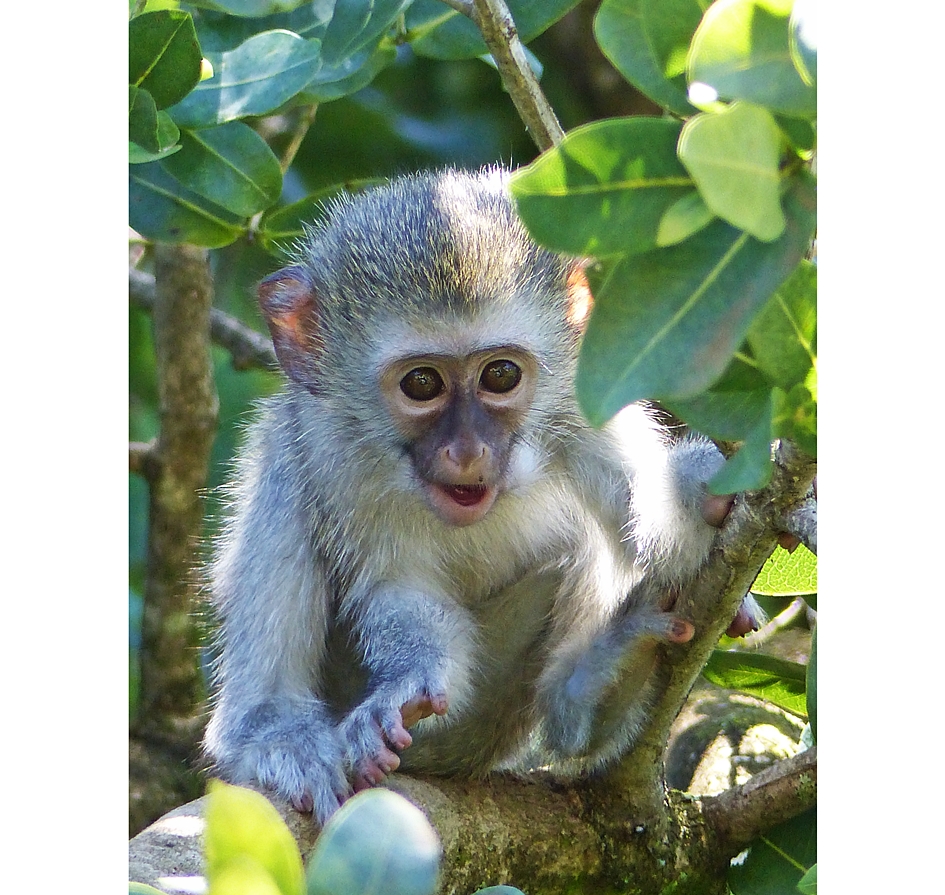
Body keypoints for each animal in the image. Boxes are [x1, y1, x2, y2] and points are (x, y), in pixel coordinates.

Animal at [203, 168, 756, 823]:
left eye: (500, 376)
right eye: (422, 383)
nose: (466, 452)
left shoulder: (589, 406)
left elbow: (650, 539)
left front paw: (698, 494)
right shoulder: (330, 449)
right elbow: (398, 589)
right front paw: (407, 688)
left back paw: (588, 696)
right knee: (283, 479)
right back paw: (274, 734)